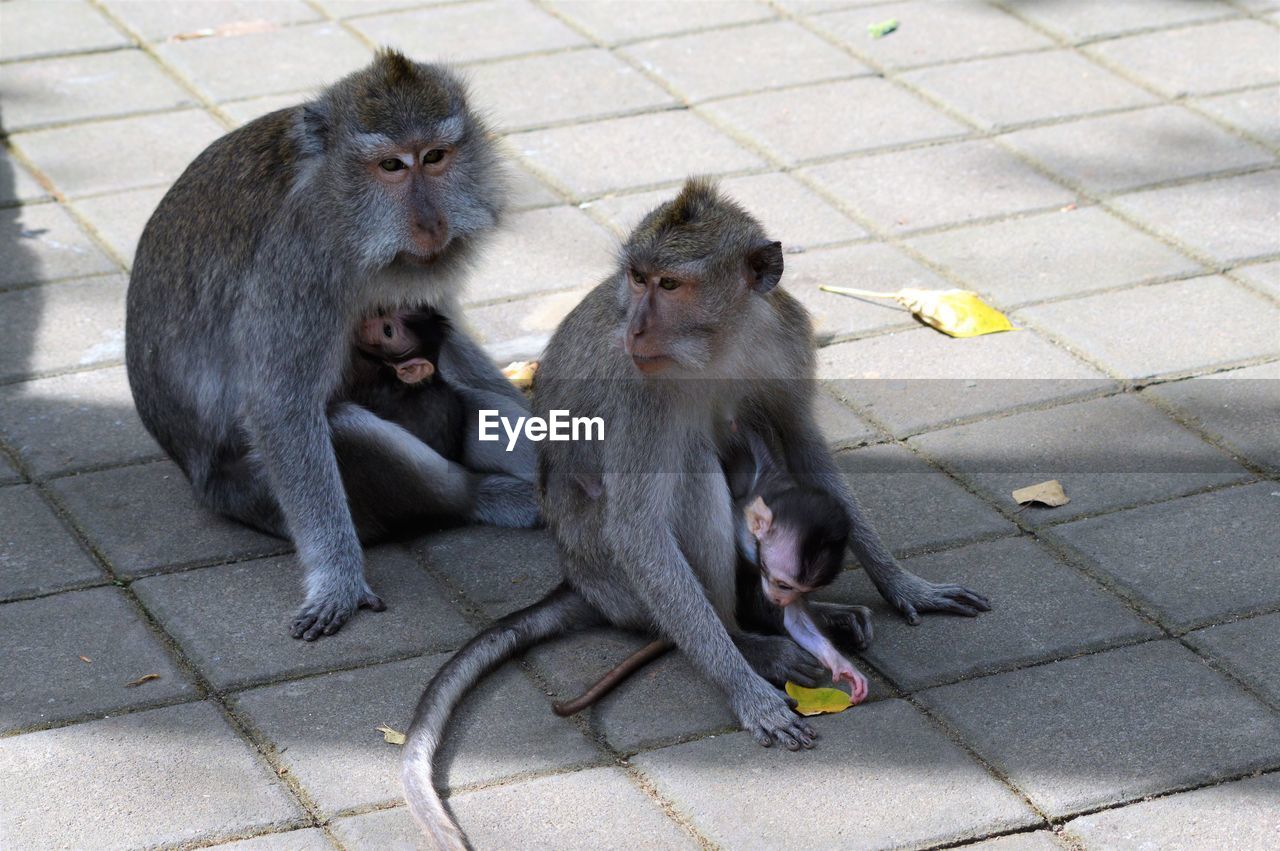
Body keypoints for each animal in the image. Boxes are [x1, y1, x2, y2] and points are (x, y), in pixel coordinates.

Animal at [124, 49, 535, 639]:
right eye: (391, 166)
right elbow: (280, 404)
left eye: (435, 157)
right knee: (349, 430)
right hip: (254, 493)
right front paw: (337, 579)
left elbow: (447, 337)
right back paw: (487, 496)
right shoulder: (300, 262)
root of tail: (198, 479)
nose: (431, 225)